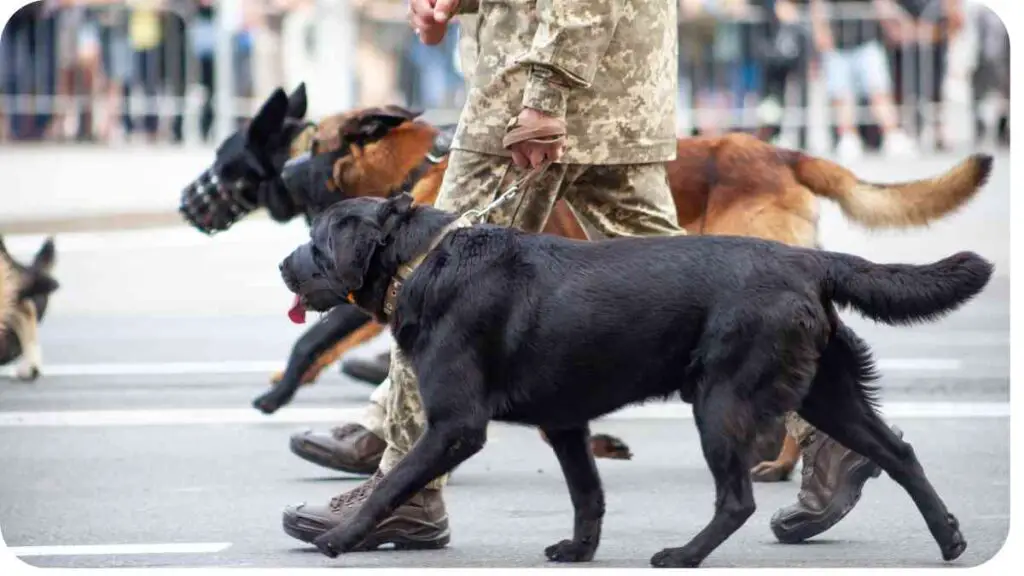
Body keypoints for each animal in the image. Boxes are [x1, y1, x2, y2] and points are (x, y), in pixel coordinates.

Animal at [280, 193, 991, 565]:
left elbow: (392, 480)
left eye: (315, 242)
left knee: (737, 499)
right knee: (899, 452)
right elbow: (587, 493)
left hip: (722, 400)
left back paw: (684, 555)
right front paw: (579, 549)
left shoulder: (456, 425)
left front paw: (342, 537)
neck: (424, 261)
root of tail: (808, 260)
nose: (283, 266)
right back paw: (950, 537)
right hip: (828, 392)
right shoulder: (566, 422)